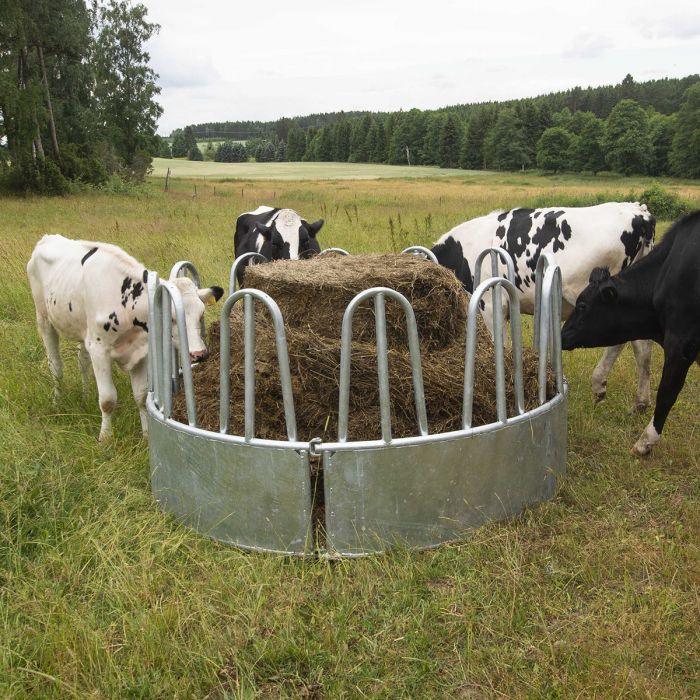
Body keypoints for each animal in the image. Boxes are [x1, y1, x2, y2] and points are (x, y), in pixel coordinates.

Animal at [27, 235, 221, 442]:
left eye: (201, 314)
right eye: (171, 318)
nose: (199, 354)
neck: (126, 305)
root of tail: (48, 237)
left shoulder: (141, 351)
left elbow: (141, 396)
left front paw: (146, 434)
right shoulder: (99, 349)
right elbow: (107, 399)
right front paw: (105, 438)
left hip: (83, 331)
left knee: (82, 362)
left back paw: (85, 397)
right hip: (44, 319)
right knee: (55, 366)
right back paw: (57, 402)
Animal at [432, 201, 656, 410]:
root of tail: (638, 212)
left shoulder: (490, 302)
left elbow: (500, 344)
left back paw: (599, 383)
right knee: (643, 347)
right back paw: (640, 402)